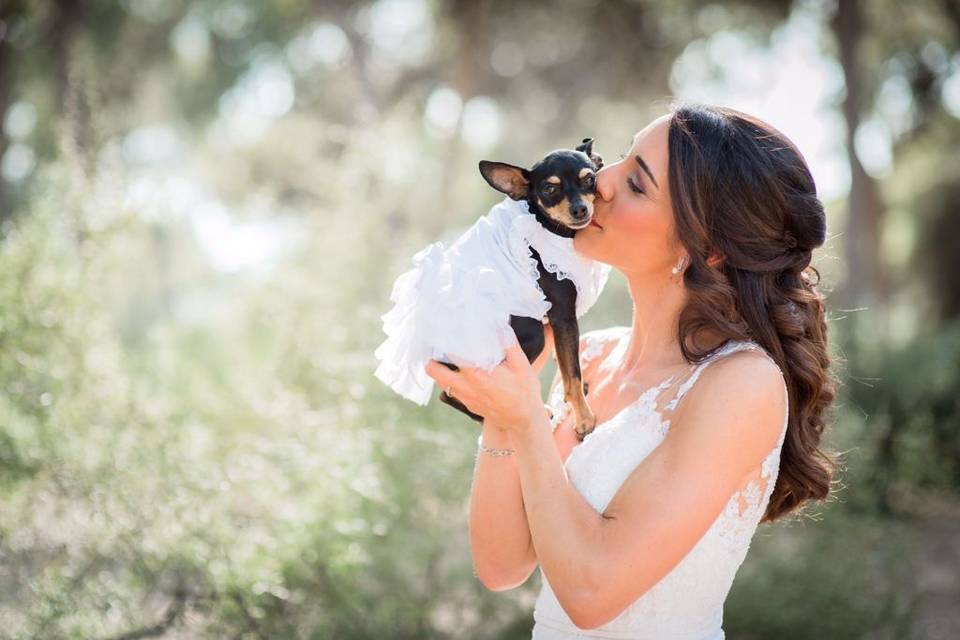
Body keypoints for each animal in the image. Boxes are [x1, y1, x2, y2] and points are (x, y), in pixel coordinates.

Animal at [438, 138, 604, 442]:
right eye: (549, 189)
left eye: (590, 180)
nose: (579, 209)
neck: (550, 229)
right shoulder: (564, 316)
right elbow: (572, 376)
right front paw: (584, 420)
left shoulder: (561, 324)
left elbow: (568, 364)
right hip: (530, 335)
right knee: (450, 396)